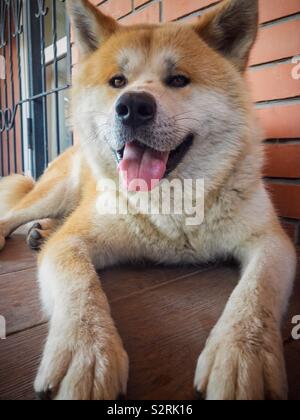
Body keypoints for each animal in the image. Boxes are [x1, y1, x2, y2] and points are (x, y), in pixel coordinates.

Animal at [0, 0, 296, 400]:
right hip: (56, 190)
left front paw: (241, 355)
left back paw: (41, 231)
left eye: (179, 80)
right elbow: (80, 287)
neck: (170, 204)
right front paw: (87, 353)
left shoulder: (271, 242)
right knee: (16, 214)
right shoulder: (73, 242)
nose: (133, 106)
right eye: (117, 82)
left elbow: (256, 293)